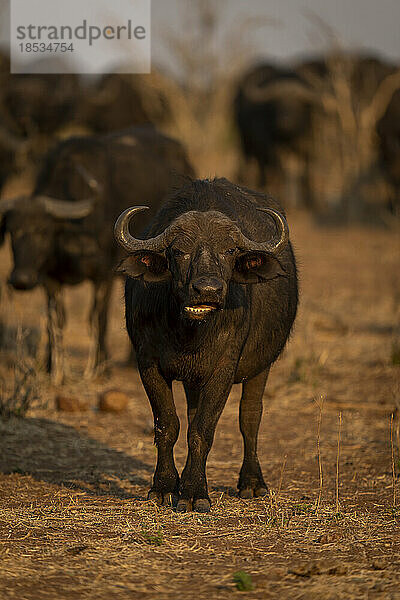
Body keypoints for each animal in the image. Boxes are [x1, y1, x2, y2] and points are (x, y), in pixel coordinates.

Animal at [0, 126, 194, 384]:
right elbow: (55, 319)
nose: (20, 279)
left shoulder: (102, 275)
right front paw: (54, 369)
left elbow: (97, 317)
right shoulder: (50, 279)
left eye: (43, 231)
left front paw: (99, 368)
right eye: (11, 231)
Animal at [115, 178, 296, 510]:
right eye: (179, 251)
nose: (208, 290)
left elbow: (203, 430)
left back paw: (252, 483)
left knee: (250, 417)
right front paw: (165, 487)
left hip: (261, 365)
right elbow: (168, 425)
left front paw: (194, 492)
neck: (189, 333)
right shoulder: (147, 363)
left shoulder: (223, 369)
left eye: (229, 250)